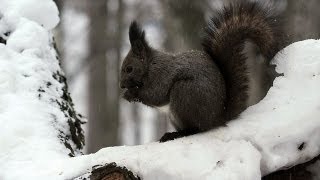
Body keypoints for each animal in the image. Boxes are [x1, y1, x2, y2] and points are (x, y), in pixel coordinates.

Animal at [119, 1, 286, 142]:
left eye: (129, 68)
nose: (121, 85)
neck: (149, 65)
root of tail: (217, 118)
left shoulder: (162, 74)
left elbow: (156, 95)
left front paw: (130, 94)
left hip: (184, 93)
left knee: (196, 129)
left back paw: (177, 134)